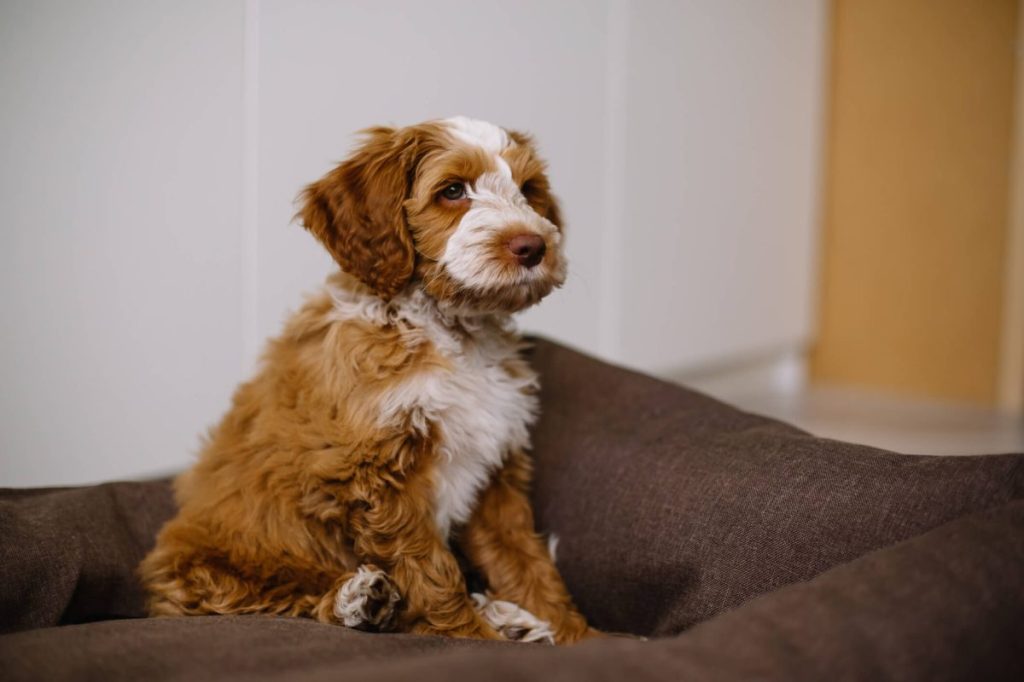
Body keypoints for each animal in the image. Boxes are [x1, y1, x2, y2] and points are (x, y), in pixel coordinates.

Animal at [140, 116, 598, 643]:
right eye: (453, 190)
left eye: (528, 190)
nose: (533, 246)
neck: (452, 332)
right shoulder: (374, 477)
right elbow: (428, 570)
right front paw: (471, 636)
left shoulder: (496, 470)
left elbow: (522, 556)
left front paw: (572, 633)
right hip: (216, 569)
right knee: (282, 598)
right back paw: (363, 600)